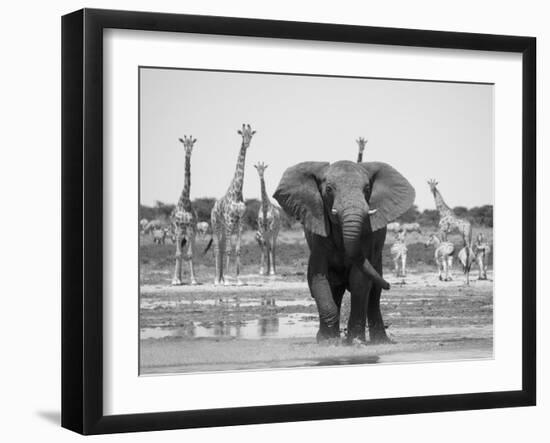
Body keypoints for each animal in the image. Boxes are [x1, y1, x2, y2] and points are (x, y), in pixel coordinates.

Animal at [212, 123, 258, 286]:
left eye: (251, 134)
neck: (237, 192)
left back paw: (220, 278)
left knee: (221, 246)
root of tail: (213, 208)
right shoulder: (230, 221)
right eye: (242, 135)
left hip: (223, 226)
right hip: (216, 224)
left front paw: (238, 279)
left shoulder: (240, 222)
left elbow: (237, 249)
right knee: (217, 248)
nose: (247, 143)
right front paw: (227, 279)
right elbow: (228, 249)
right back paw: (217, 279)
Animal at [274, 161, 416, 346]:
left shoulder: (367, 236)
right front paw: (328, 342)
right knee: (336, 288)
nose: (390, 285)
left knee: (374, 293)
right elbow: (318, 277)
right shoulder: (318, 236)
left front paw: (355, 341)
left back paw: (380, 341)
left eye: (367, 188)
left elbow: (359, 280)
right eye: (328, 189)